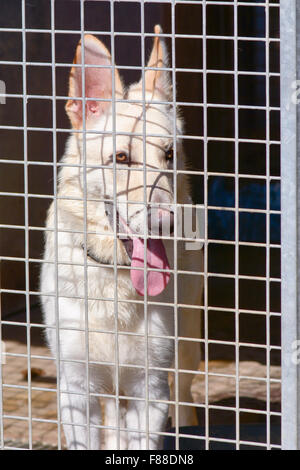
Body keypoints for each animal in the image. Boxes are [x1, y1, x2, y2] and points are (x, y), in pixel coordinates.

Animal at [40, 26, 204, 452]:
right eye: (122, 158)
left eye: (169, 155)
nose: (165, 223)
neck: (114, 277)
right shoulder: (77, 388)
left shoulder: (151, 388)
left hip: (184, 346)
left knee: (185, 393)